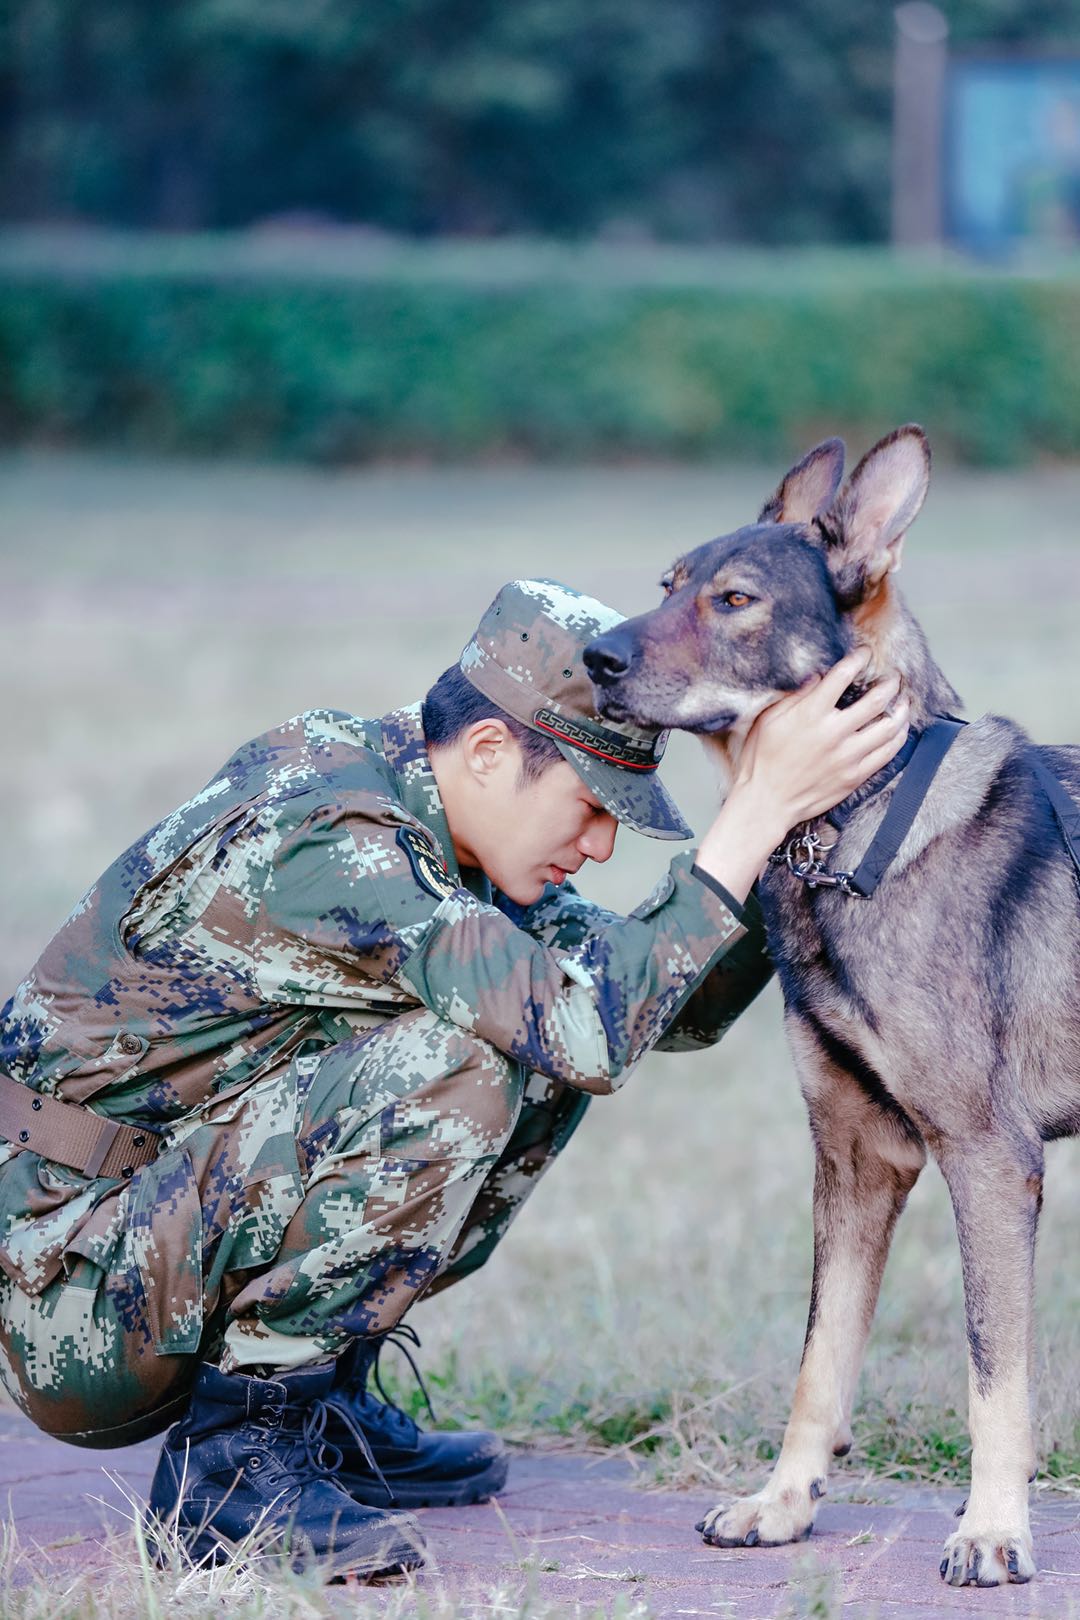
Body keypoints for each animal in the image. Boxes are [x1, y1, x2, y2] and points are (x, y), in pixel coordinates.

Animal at [582, 424, 1080, 1587]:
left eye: (734, 600)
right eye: (667, 585)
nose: (594, 660)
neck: (857, 821)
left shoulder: (989, 1160)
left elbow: (995, 1369)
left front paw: (993, 1529)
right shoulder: (859, 1161)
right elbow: (821, 1358)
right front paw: (782, 1505)